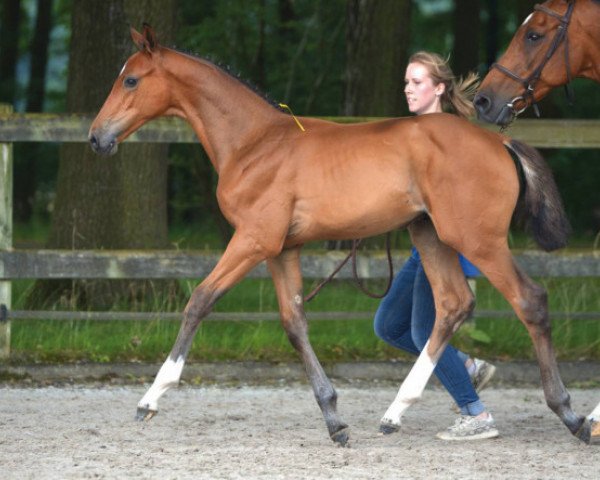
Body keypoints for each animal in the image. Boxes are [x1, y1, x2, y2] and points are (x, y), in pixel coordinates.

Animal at [89, 25, 596, 446]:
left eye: (131, 80)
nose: (97, 138)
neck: (255, 143)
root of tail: (499, 141)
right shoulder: (282, 249)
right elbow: (294, 323)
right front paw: (334, 419)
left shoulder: (253, 240)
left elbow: (199, 301)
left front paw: (150, 400)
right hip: (430, 235)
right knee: (453, 305)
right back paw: (394, 414)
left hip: (478, 241)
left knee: (530, 301)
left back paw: (571, 416)